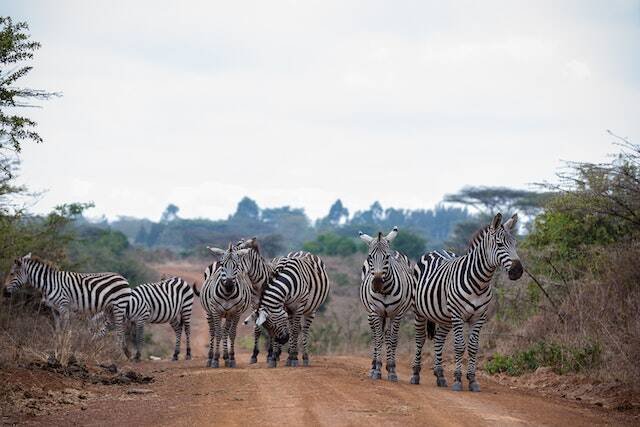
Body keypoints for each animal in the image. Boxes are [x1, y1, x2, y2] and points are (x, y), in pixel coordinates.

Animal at [3, 253, 132, 357]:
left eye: (11, 274)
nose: (4, 292)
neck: (50, 284)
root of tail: (124, 279)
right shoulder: (54, 309)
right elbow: (57, 331)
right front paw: (57, 349)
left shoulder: (63, 306)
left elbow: (65, 330)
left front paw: (63, 349)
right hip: (111, 309)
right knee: (107, 330)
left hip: (119, 307)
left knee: (120, 331)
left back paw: (118, 355)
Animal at [359, 226, 414, 381]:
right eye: (370, 257)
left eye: (387, 257)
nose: (377, 283)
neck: (384, 291)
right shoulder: (375, 312)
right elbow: (378, 339)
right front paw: (377, 369)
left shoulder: (397, 314)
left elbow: (393, 340)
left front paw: (392, 370)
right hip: (372, 314)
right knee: (377, 335)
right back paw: (373, 366)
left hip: (390, 314)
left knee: (389, 336)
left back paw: (389, 367)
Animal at [411, 213, 523, 392]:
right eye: (499, 244)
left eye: (515, 243)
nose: (518, 271)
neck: (479, 283)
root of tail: (436, 250)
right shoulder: (458, 315)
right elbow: (459, 346)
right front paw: (457, 380)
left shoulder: (479, 317)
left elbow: (473, 347)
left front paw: (472, 380)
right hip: (419, 312)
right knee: (420, 339)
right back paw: (415, 374)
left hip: (445, 318)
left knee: (439, 340)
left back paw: (440, 375)